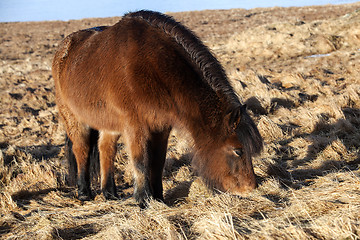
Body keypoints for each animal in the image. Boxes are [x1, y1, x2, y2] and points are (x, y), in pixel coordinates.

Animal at [52, 10, 262, 205]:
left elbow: (158, 161)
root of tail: (64, 48)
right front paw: (143, 200)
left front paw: (158, 198)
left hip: (108, 123)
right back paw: (84, 192)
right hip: (73, 119)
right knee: (82, 150)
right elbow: (140, 162)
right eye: (238, 150)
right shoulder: (135, 127)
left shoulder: (161, 127)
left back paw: (110, 193)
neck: (154, 65)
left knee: (106, 149)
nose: (251, 187)